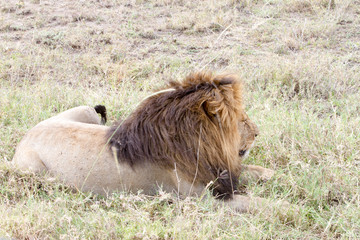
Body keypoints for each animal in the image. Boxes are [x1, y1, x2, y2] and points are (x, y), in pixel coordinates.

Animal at [12, 72, 286, 213]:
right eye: (241, 118)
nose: (258, 133)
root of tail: (27, 134)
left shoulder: (221, 172)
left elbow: (254, 171)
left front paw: (280, 176)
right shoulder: (202, 198)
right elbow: (259, 203)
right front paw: (289, 210)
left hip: (86, 112)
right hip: (34, 171)